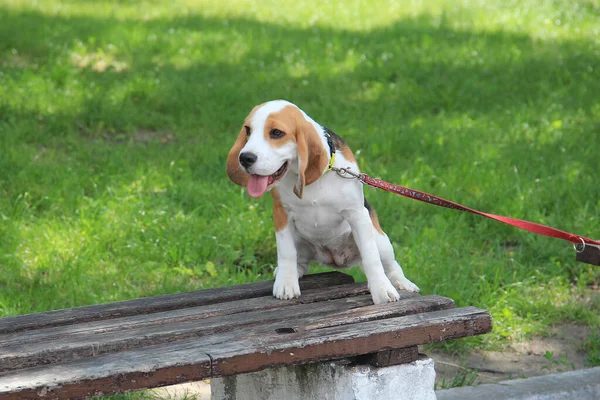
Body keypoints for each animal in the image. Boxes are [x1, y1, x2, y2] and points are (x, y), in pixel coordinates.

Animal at [227, 99, 420, 304]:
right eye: (248, 130)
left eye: (276, 133)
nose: (245, 158)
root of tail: (336, 259)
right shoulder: (281, 213)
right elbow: (286, 251)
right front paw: (286, 283)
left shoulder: (357, 214)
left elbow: (371, 256)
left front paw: (382, 290)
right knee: (300, 261)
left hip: (380, 239)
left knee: (389, 263)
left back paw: (402, 283)